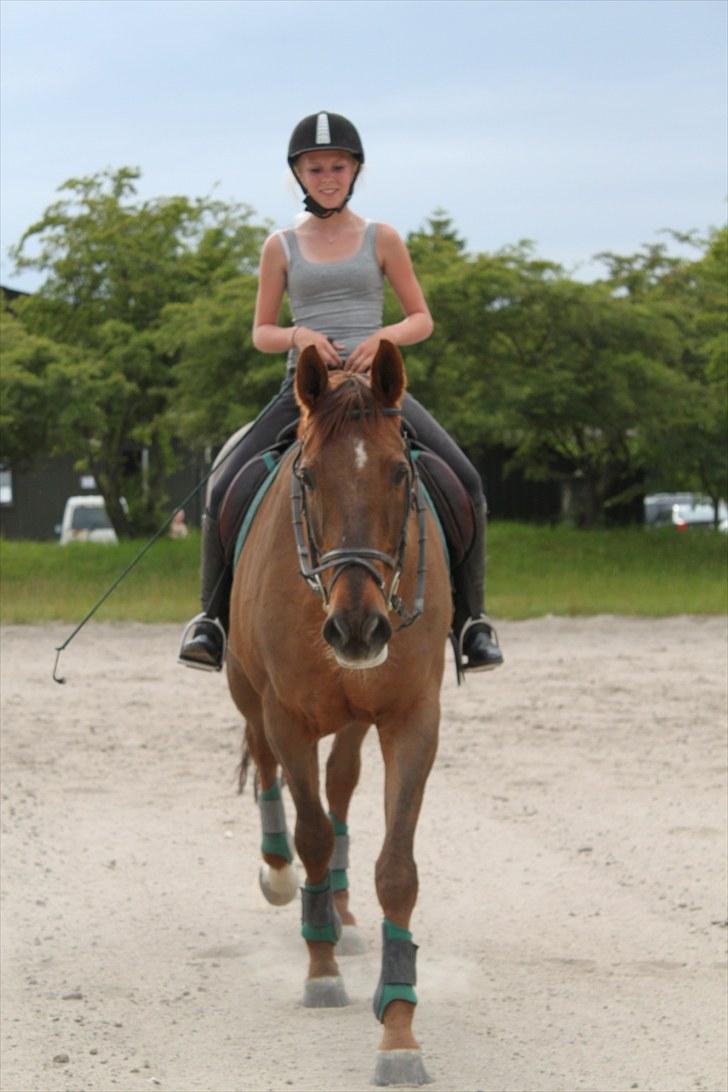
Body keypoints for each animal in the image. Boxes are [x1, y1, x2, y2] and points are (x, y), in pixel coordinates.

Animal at [228, 338, 451, 1083]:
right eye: (309, 477)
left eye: (398, 474)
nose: (360, 629)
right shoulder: (287, 716)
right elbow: (314, 836)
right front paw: (321, 969)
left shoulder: (413, 719)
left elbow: (396, 870)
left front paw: (399, 1027)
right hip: (246, 688)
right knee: (269, 770)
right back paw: (280, 877)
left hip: (355, 717)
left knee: (343, 786)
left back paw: (347, 915)